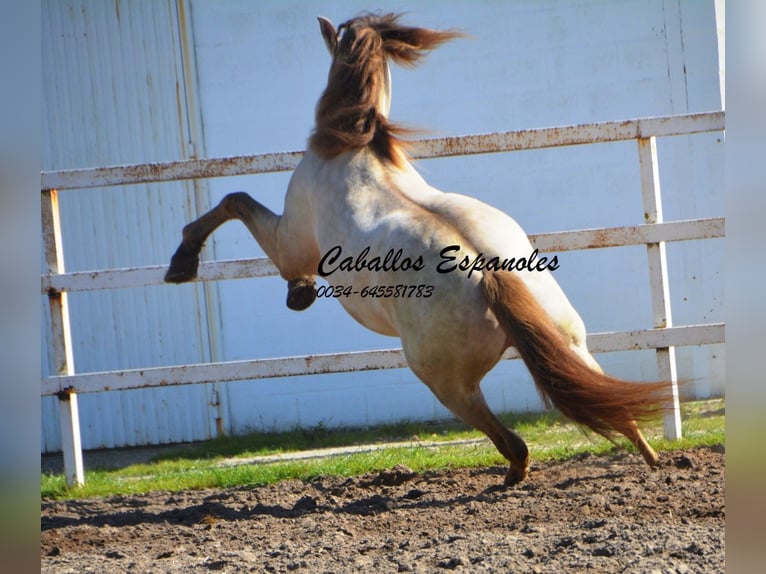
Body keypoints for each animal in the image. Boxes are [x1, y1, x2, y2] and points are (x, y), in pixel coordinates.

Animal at [165, 13, 668, 486]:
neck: (349, 149)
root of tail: (490, 272)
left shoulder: (289, 243)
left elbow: (236, 201)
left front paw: (187, 263)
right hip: (570, 344)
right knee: (616, 408)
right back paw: (652, 461)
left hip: (447, 382)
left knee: (513, 441)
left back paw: (513, 475)